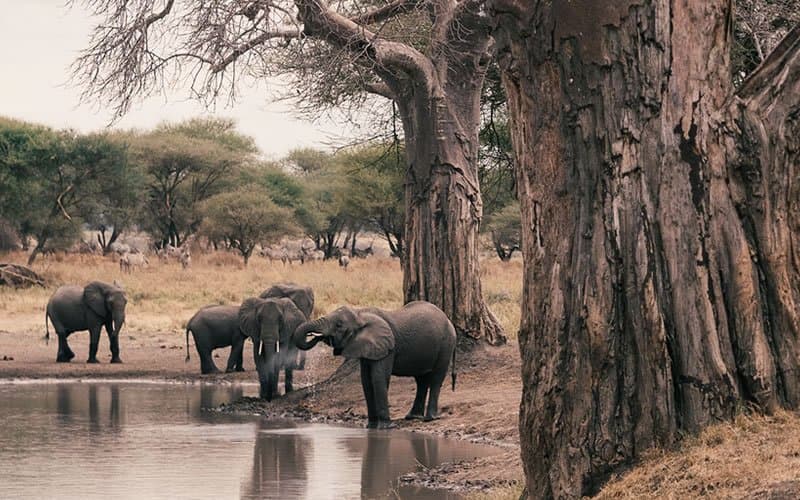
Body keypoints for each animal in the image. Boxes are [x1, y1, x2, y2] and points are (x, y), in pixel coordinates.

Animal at [292, 301, 457, 429]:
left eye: (339, 325)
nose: (315, 336)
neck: (360, 314)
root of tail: (449, 320)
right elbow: (366, 381)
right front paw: (371, 427)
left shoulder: (388, 348)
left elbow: (378, 379)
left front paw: (386, 427)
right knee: (421, 381)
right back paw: (412, 417)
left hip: (446, 343)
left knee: (436, 378)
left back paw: (430, 418)